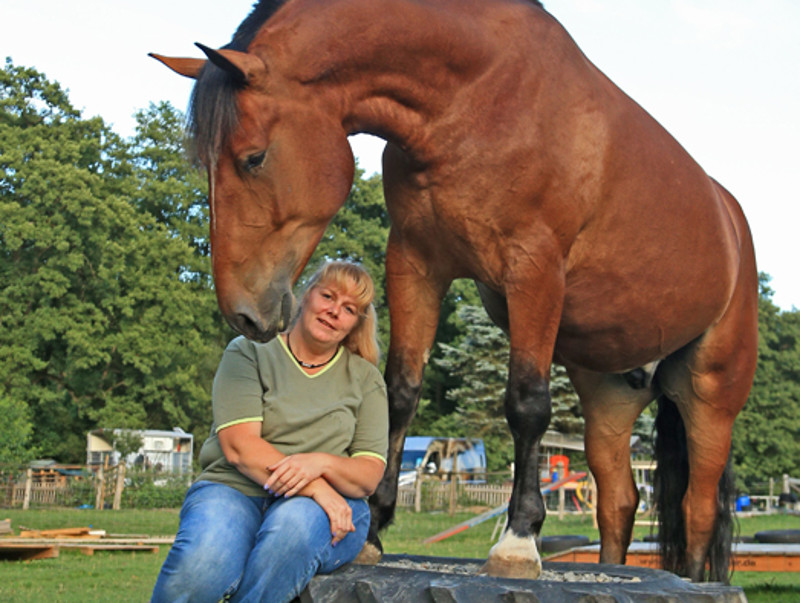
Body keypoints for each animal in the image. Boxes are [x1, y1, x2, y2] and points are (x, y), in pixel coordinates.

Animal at [153, 0, 760, 584]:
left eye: (253, 158)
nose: (242, 312)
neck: (476, 97)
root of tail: (731, 225)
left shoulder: (534, 272)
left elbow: (526, 404)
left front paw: (518, 543)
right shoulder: (416, 262)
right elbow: (399, 392)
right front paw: (374, 532)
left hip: (710, 394)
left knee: (697, 508)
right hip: (609, 397)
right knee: (618, 501)